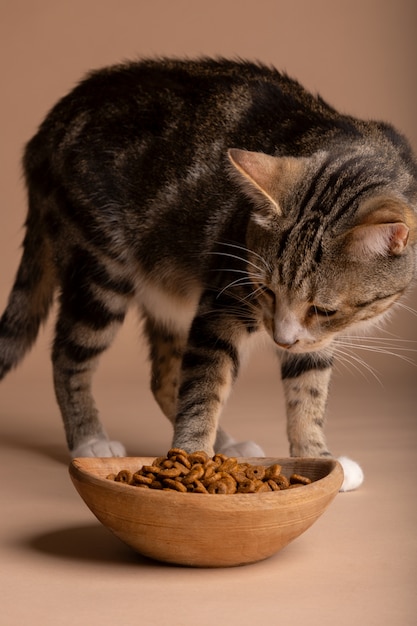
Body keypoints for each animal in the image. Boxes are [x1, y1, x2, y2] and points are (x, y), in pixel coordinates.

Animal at [0, 58, 416, 488]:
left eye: (324, 310)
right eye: (266, 290)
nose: (281, 340)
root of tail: (47, 130)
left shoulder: (314, 336)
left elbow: (308, 389)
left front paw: (319, 459)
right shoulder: (224, 299)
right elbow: (204, 386)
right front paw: (190, 459)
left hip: (169, 296)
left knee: (167, 377)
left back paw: (227, 444)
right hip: (100, 267)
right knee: (70, 355)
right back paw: (90, 440)